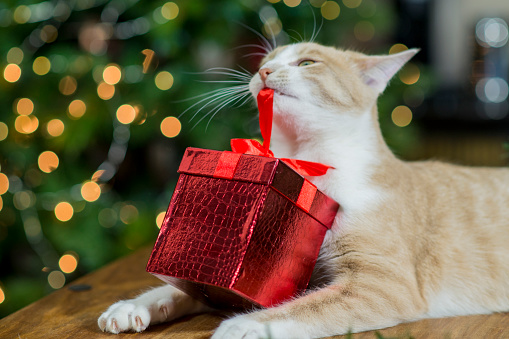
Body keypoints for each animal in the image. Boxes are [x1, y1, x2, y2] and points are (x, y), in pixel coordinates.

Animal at [96, 41, 508, 338]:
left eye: (308, 63)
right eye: (265, 60)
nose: (264, 71)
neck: (305, 161)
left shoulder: (383, 284)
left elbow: (307, 306)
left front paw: (245, 324)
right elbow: (182, 288)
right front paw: (135, 305)